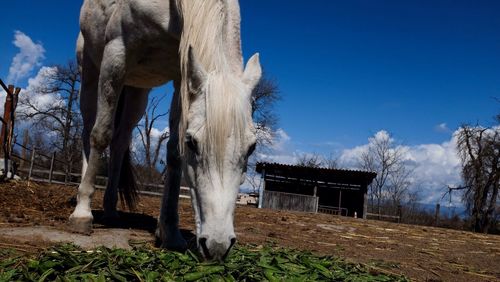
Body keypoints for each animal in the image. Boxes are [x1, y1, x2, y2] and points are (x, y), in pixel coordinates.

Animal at [70, 0, 262, 260]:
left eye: (251, 148)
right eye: (192, 142)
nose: (218, 246)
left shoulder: (181, 77)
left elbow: (173, 152)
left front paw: (170, 234)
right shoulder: (115, 55)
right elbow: (101, 134)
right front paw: (82, 215)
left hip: (137, 91)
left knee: (120, 141)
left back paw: (110, 211)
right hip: (90, 69)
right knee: (89, 131)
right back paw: (83, 204)